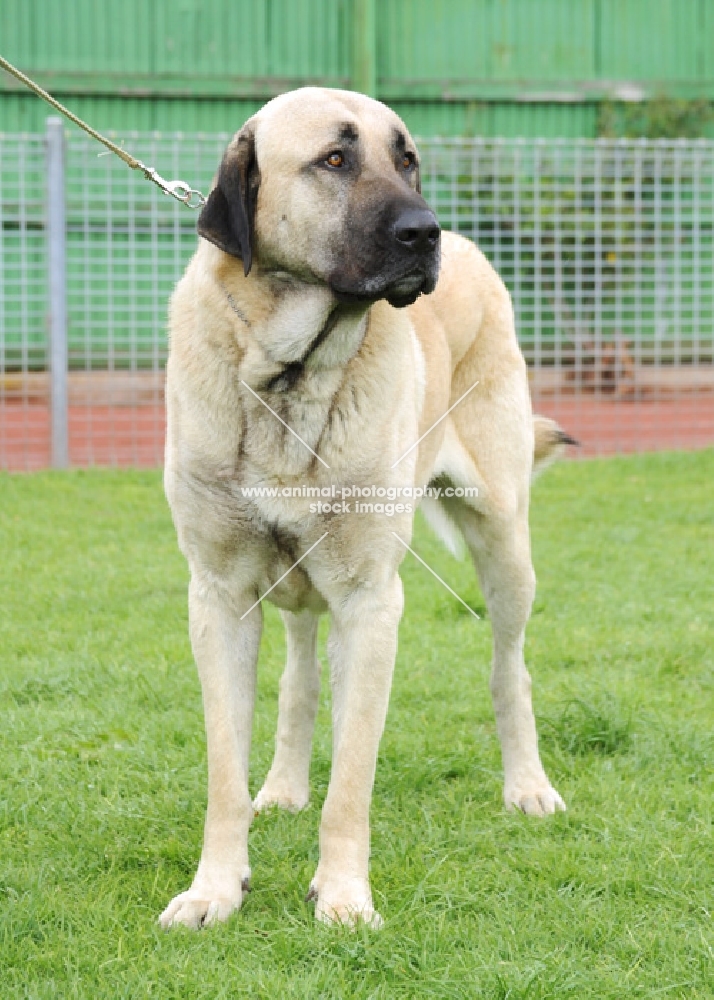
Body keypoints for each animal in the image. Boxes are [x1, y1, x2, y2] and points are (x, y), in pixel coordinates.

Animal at [161, 86, 568, 928]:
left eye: (407, 159)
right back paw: (282, 787)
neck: (289, 377)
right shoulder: (218, 598)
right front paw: (216, 888)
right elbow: (224, 772)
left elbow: (351, 779)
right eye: (335, 159)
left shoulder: (371, 601)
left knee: (509, 670)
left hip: (505, 544)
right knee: (300, 682)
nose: (425, 232)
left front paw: (344, 895)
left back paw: (528, 787)